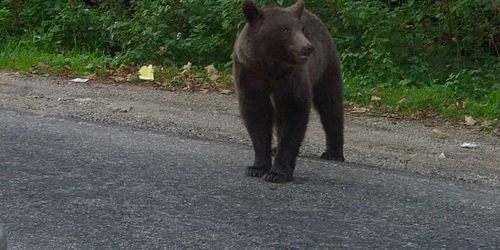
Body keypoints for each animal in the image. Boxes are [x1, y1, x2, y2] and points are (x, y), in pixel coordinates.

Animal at [233, 0, 344, 184]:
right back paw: (275, 148)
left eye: (301, 29)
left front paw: (277, 173)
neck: (271, 66)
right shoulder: (250, 72)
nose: (307, 47)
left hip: (326, 65)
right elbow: (256, 113)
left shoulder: (291, 77)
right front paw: (257, 167)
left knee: (330, 104)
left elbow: (293, 112)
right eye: (285, 29)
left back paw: (333, 152)